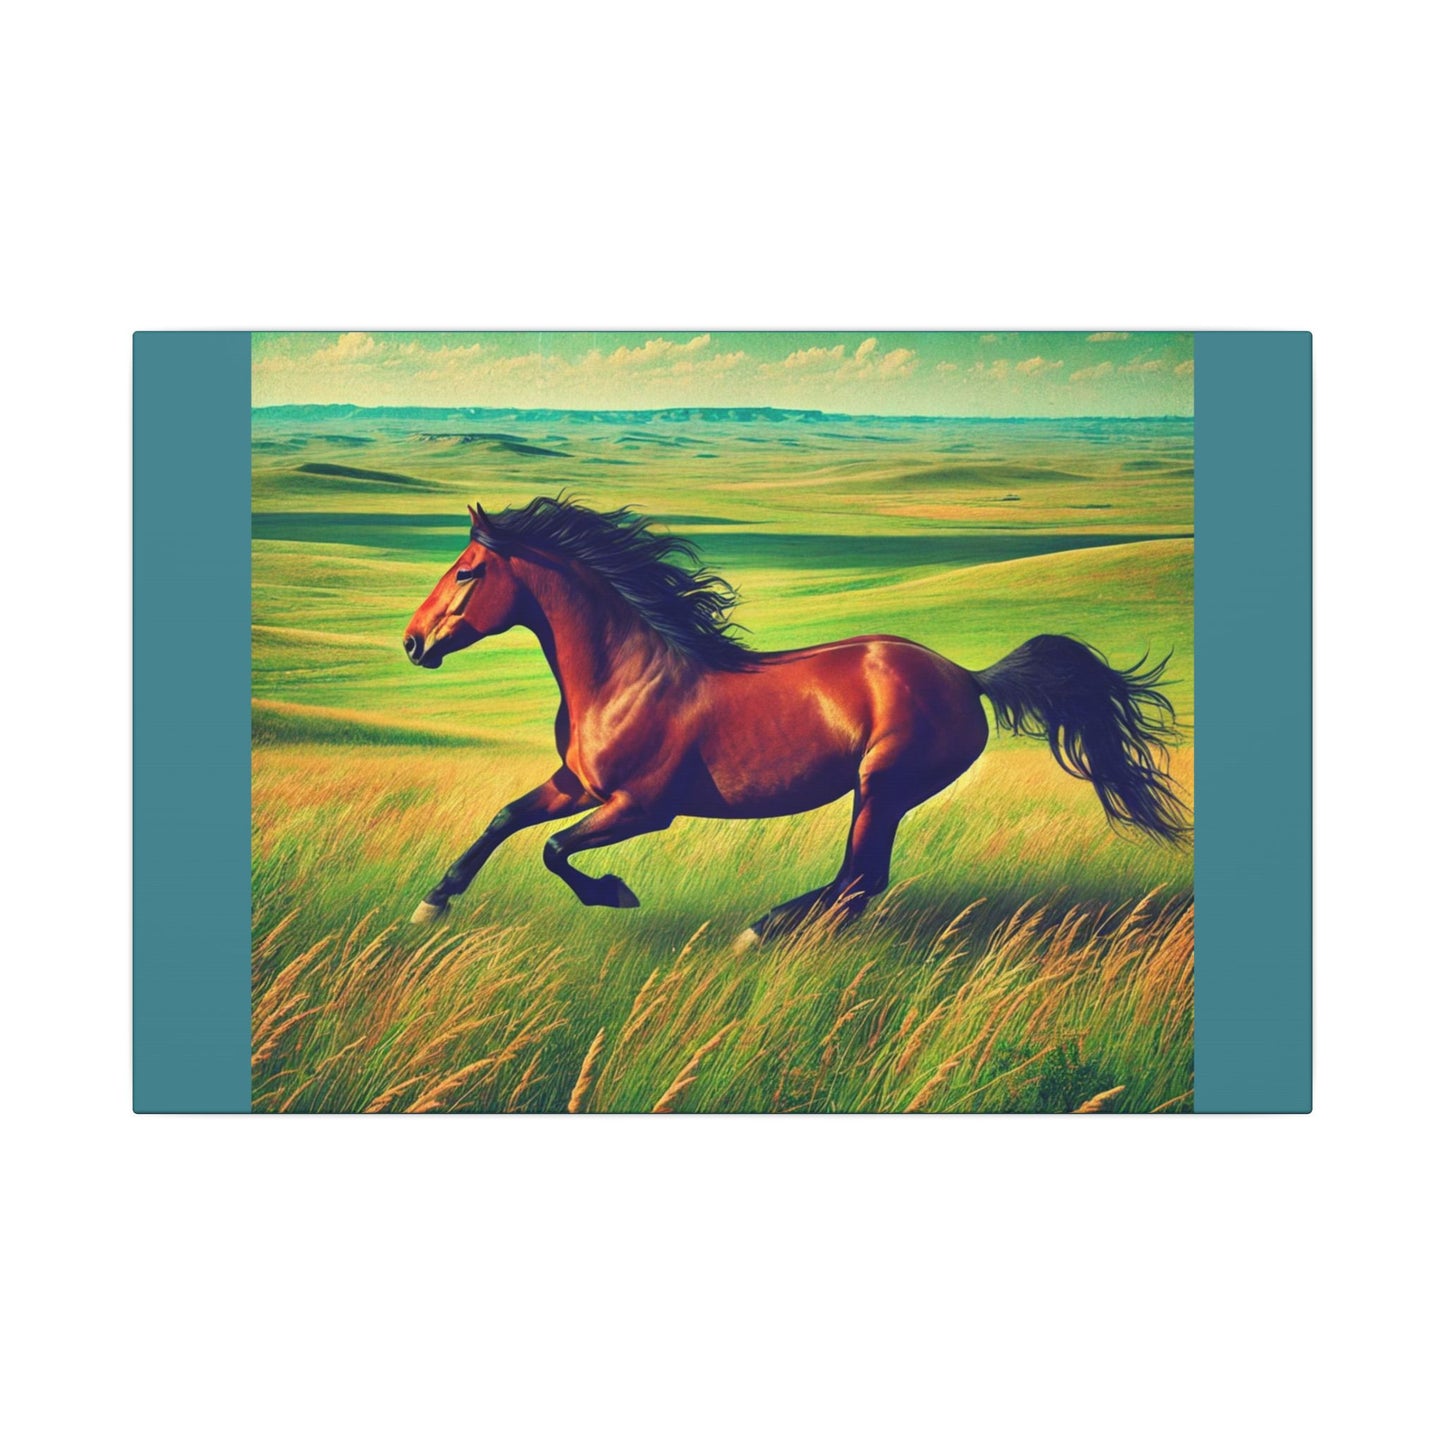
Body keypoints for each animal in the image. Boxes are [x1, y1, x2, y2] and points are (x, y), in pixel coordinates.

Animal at [402, 497, 1190, 947]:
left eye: (468, 571)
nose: (412, 642)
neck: (626, 674)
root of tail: (966, 677)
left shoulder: (641, 808)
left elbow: (554, 850)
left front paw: (615, 892)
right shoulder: (577, 784)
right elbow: (505, 819)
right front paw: (432, 904)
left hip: (883, 787)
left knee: (860, 877)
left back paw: (759, 933)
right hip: (880, 793)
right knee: (859, 882)